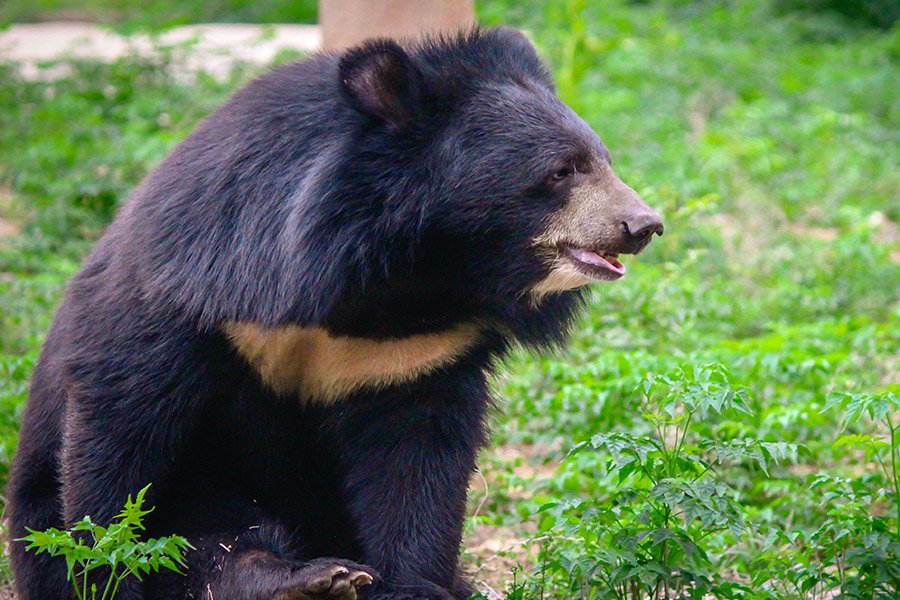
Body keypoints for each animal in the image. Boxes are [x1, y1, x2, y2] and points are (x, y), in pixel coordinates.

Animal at [5, 27, 660, 600]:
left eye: (602, 159)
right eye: (562, 170)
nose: (643, 225)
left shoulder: (419, 351)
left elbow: (416, 463)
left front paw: (412, 586)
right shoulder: (198, 289)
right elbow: (121, 423)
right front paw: (102, 571)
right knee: (214, 542)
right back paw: (302, 580)